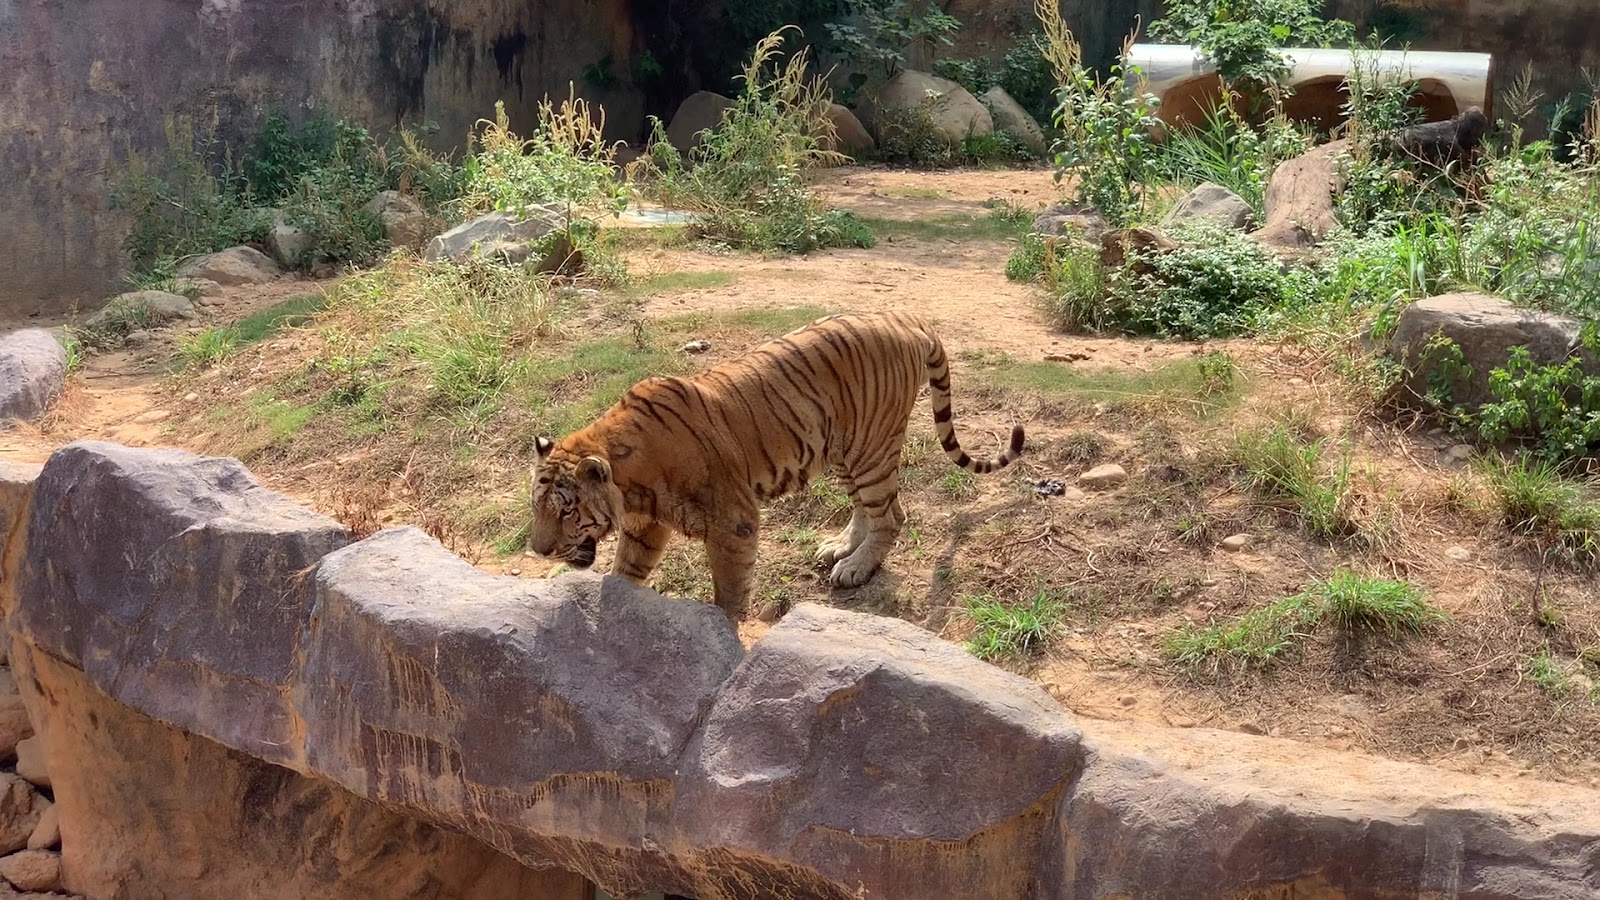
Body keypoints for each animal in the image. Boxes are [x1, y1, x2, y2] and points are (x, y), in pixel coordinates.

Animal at [527, 311, 1025, 622]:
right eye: (537, 508)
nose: (539, 550)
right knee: (867, 509)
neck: (632, 483)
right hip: (844, 450)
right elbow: (626, 570)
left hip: (872, 449)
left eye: (566, 510)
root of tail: (908, 319)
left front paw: (723, 634)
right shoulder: (644, 526)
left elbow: (729, 591)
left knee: (892, 515)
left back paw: (856, 568)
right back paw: (840, 549)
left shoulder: (733, 523)